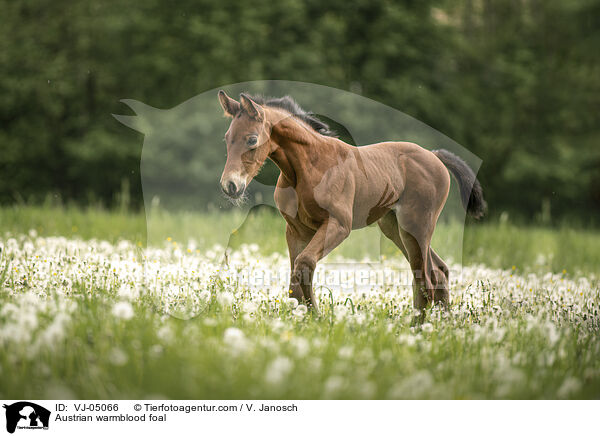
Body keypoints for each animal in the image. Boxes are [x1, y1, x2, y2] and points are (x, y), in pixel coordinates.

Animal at [218, 91, 486, 316]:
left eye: (252, 140)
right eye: (226, 138)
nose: (230, 185)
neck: (309, 167)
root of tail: (434, 155)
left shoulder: (339, 225)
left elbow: (305, 264)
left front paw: (317, 317)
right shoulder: (296, 230)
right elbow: (296, 279)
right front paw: (306, 318)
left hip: (417, 225)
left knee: (425, 280)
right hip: (395, 228)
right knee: (438, 272)